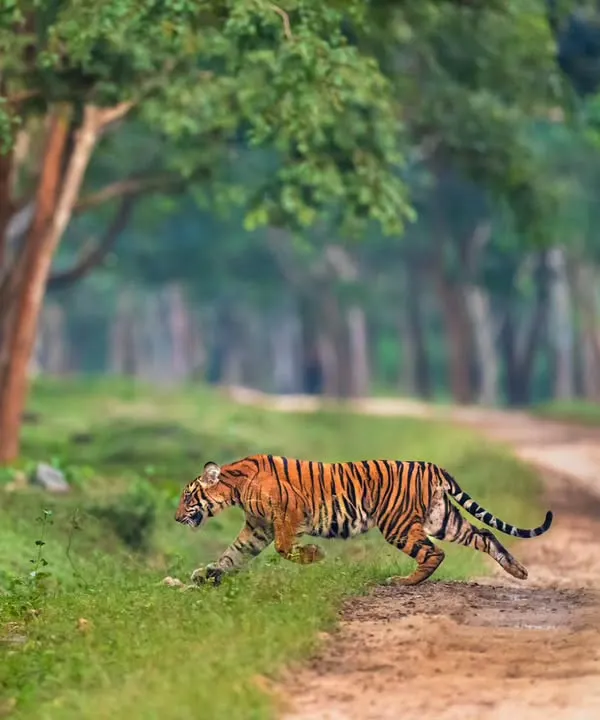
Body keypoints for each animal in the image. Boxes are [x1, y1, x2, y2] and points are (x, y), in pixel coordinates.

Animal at [174, 454, 552, 587]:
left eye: (188, 497)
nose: (177, 518)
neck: (236, 486)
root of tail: (432, 467)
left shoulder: (286, 516)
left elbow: (284, 548)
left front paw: (315, 556)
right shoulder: (257, 528)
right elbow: (231, 555)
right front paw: (207, 575)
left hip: (398, 525)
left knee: (434, 552)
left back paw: (405, 582)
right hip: (442, 519)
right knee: (484, 534)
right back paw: (518, 570)